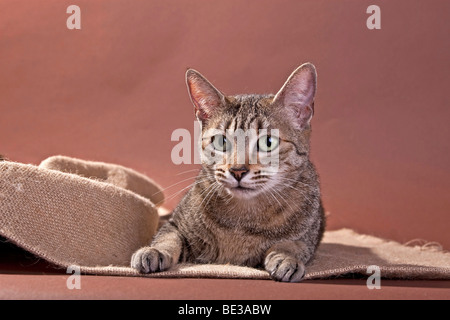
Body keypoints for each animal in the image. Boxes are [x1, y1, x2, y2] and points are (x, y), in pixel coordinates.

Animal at [132, 63, 326, 282]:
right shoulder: (176, 224)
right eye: (221, 141)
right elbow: (168, 237)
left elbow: (294, 244)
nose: (237, 170)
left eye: (268, 142)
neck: (244, 220)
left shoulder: (306, 237)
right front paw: (154, 251)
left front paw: (286, 257)